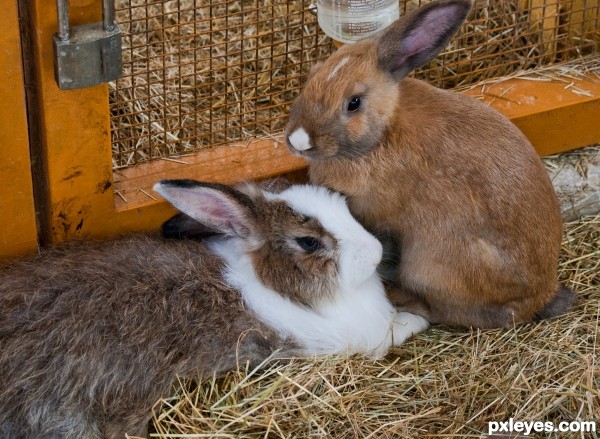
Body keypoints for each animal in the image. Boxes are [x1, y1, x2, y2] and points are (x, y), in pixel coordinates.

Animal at [286, 0, 576, 330]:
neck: (383, 133)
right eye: (312, 76)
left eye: (354, 102)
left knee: (445, 312)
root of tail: (540, 298)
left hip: (429, 267)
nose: (297, 140)